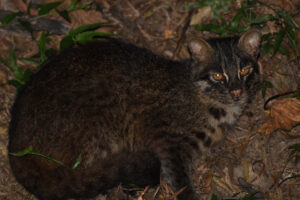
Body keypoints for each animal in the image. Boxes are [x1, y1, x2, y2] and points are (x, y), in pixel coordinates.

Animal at [7, 28, 260, 199]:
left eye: (245, 70)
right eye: (217, 76)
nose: (237, 91)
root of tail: (15, 143)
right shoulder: (165, 139)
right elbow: (180, 181)